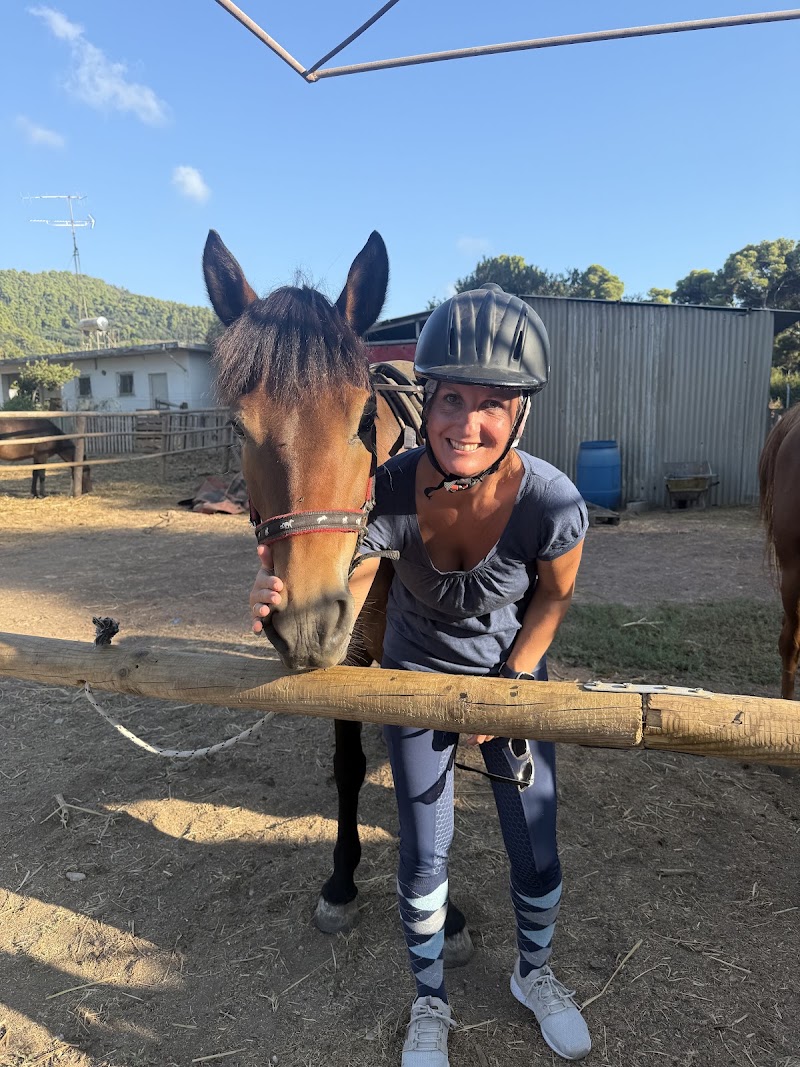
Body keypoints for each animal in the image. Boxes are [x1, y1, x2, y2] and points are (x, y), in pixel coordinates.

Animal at [202, 229, 472, 963]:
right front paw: (342, 880)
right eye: (239, 428)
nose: (305, 620)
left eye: (364, 419)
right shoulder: (346, 660)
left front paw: (449, 911)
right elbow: (349, 766)